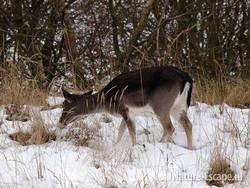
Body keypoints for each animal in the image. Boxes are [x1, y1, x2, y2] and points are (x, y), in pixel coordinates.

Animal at [58, 67, 193, 149]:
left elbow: (131, 132)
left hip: (161, 106)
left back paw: (159, 144)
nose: (60, 122)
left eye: (64, 105)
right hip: (179, 107)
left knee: (170, 127)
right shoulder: (128, 113)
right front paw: (116, 145)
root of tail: (187, 79)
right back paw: (191, 148)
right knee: (188, 124)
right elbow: (121, 131)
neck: (106, 100)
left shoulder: (124, 109)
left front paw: (134, 147)